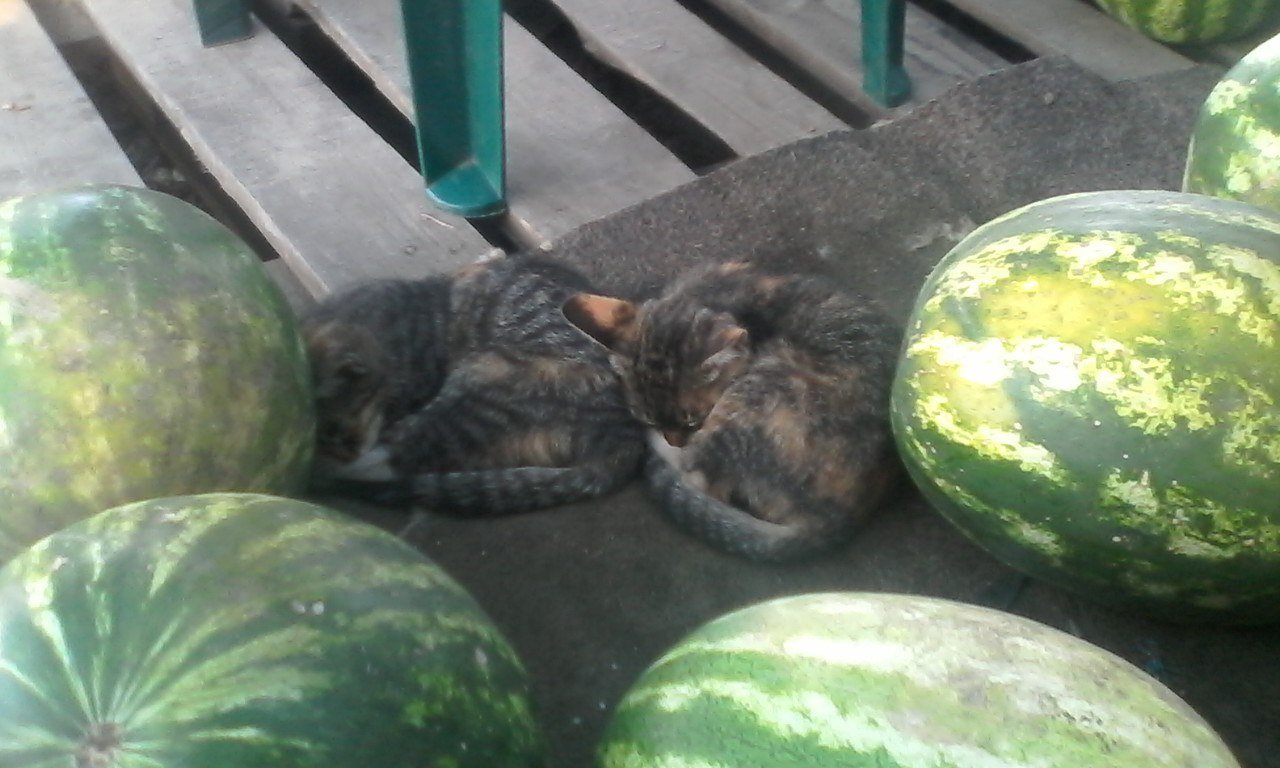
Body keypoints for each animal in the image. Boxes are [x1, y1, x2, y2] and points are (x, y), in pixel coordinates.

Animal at [298, 256, 640, 517]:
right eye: (328, 435)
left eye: (337, 430)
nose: (345, 452)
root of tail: (623, 436)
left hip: (482, 380)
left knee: (402, 458)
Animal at [560, 261, 901, 560]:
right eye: (648, 416)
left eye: (693, 419)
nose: (672, 439)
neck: (709, 293)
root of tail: (840, 518)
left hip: (760, 391)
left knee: (701, 478)